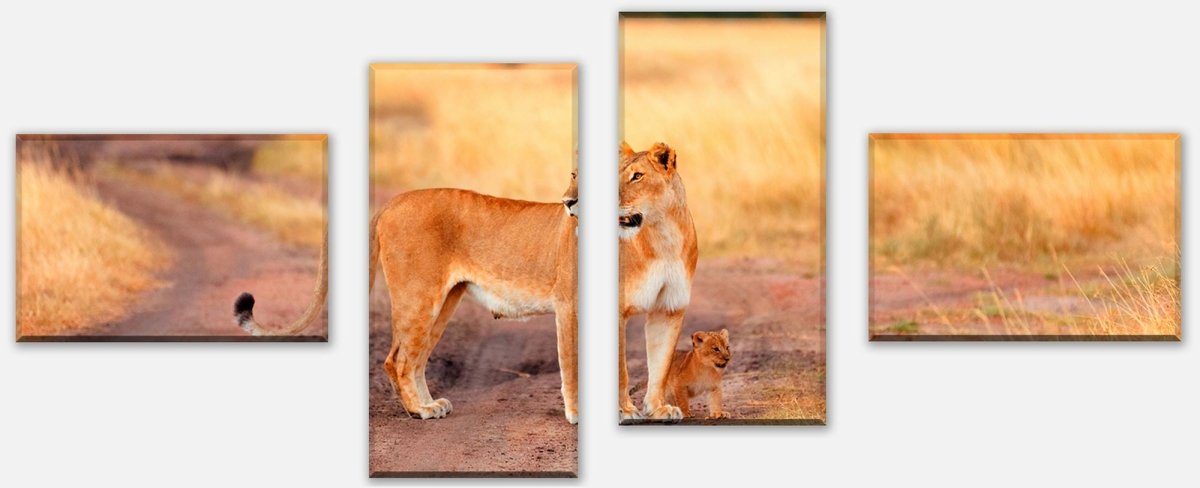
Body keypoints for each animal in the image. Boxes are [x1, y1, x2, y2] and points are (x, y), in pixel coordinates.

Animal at [366, 171, 580, 423]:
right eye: (574, 176)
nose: (568, 202)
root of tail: (392, 202)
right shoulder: (568, 304)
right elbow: (572, 364)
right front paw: (576, 414)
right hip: (419, 298)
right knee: (400, 361)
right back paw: (420, 409)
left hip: (444, 304)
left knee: (415, 359)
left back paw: (430, 404)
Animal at [618, 141, 699, 422]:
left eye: (637, 176)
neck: (664, 236)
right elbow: (621, 369)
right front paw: (625, 410)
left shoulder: (669, 308)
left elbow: (661, 364)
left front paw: (658, 408)